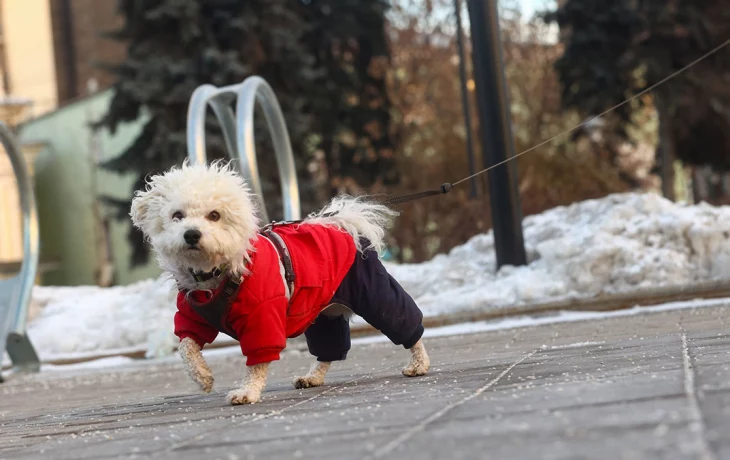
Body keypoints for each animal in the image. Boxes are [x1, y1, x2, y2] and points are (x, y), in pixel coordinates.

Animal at [130, 163, 426, 406]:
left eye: (214, 215)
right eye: (177, 215)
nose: (191, 234)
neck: (217, 273)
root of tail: (340, 221)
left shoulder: (263, 316)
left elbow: (258, 362)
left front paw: (248, 392)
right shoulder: (194, 317)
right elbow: (186, 347)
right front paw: (203, 377)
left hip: (374, 295)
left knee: (406, 323)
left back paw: (419, 363)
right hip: (323, 315)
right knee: (329, 349)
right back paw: (312, 378)